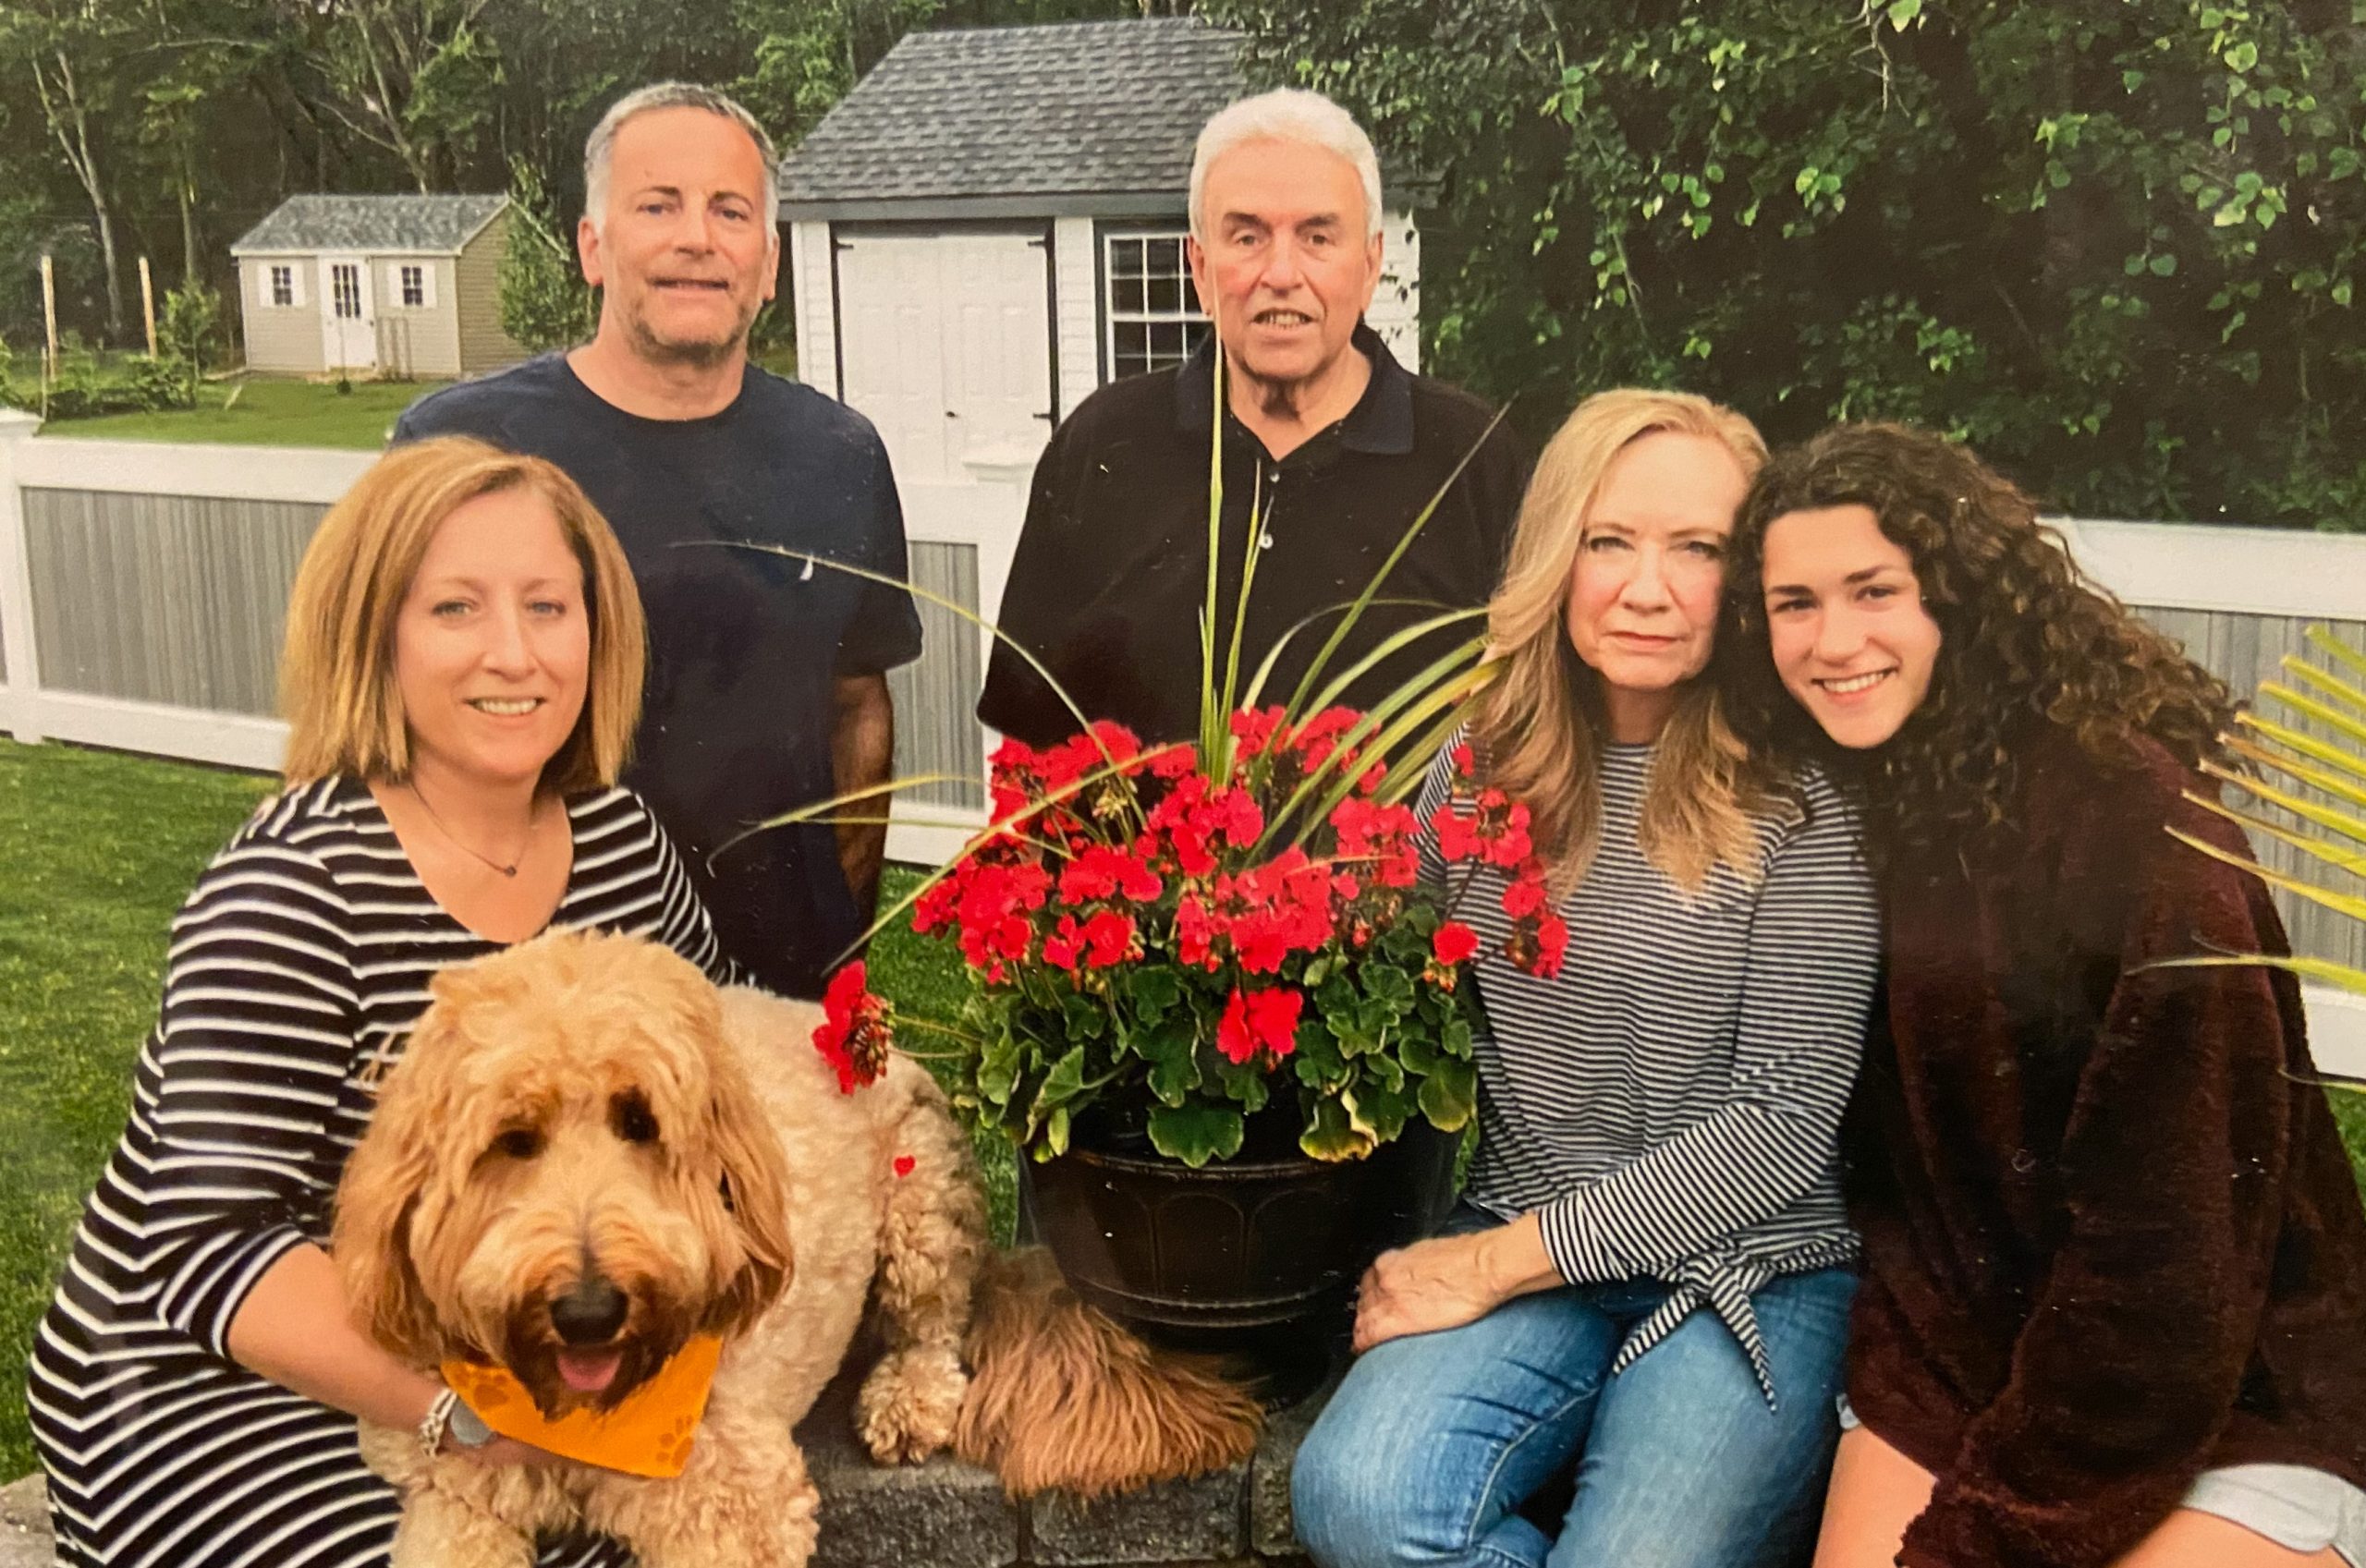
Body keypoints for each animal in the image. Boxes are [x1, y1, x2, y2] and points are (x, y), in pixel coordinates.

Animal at [335, 931, 1268, 1568]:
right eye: (512, 1138)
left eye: (641, 1119)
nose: (589, 1309)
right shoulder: (452, 1494)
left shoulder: (732, 1508)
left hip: (921, 1205)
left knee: (934, 1330)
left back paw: (906, 1400)